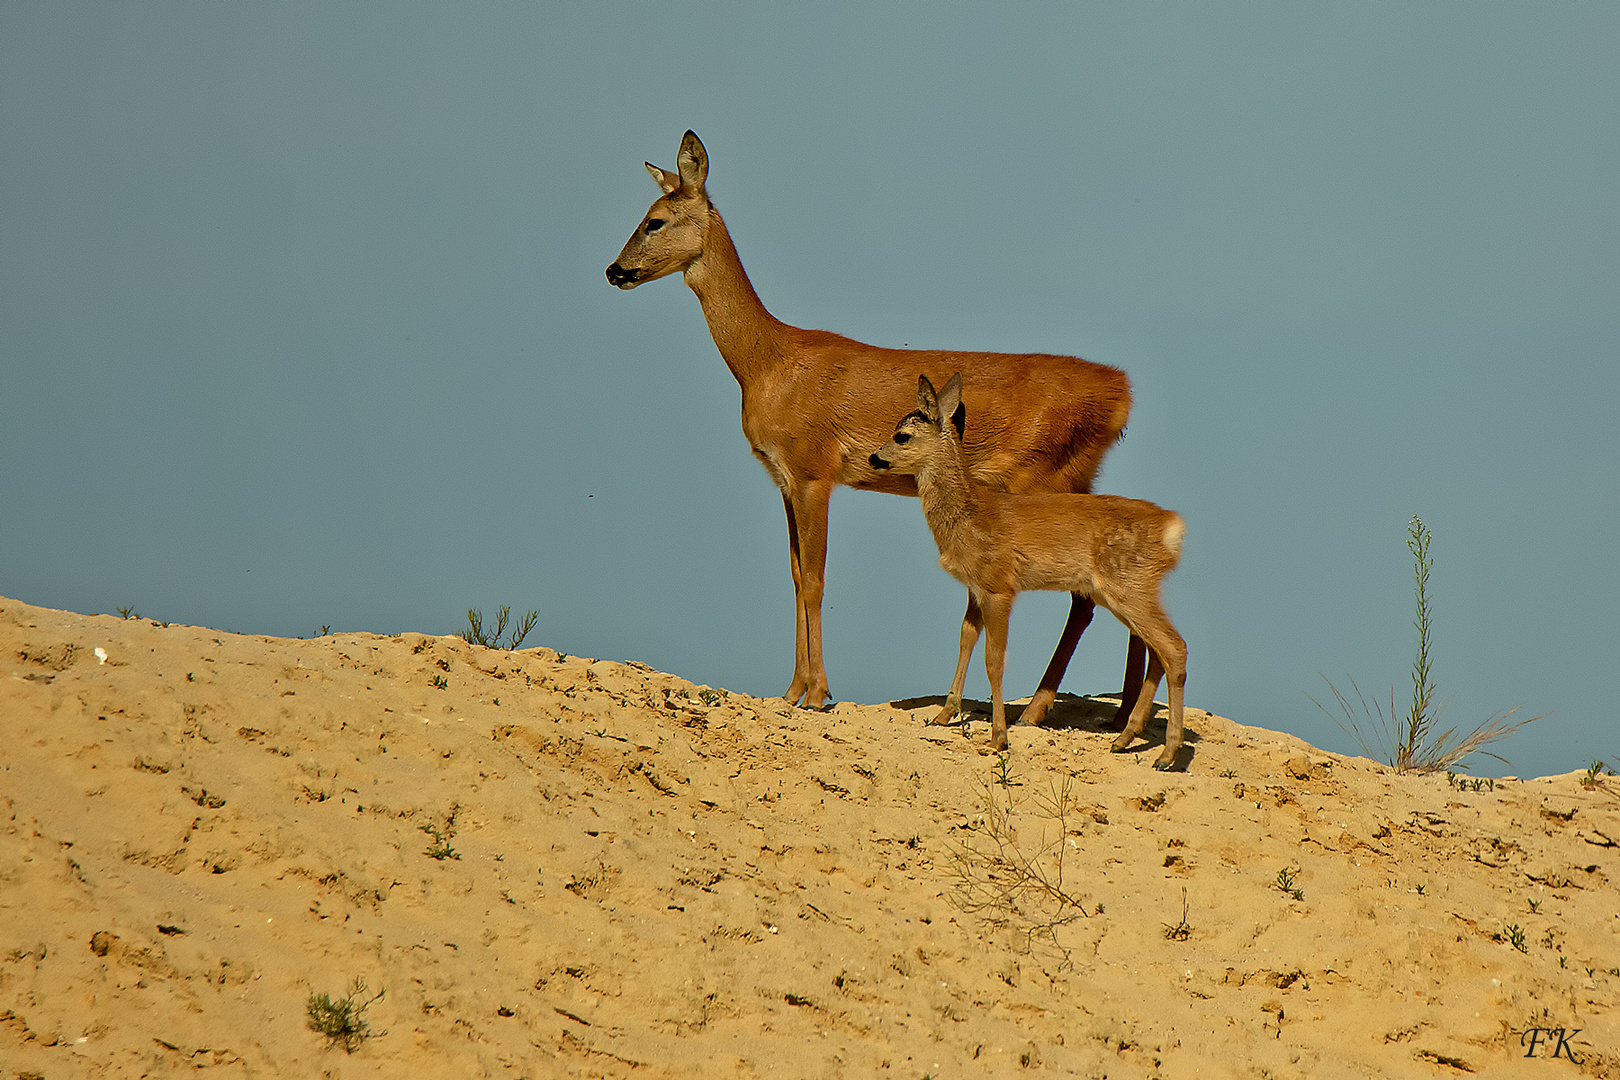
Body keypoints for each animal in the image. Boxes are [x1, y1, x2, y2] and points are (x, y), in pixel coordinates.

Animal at [602, 137, 1146, 725]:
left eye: (655, 221)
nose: (614, 270)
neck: (767, 364)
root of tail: (1122, 391)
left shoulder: (814, 471)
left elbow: (816, 579)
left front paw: (817, 692)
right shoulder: (783, 480)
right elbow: (795, 576)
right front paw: (790, 691)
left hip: (1043, 479)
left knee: (1086, 596)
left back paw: (1042, 710)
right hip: (1078, 479)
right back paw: (1121, 715)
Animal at [874, 375, 1192, 764]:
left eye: (902, 435)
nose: (875, 458)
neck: (968, 515)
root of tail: (1172, 527)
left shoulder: (999, 586)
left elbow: (994, 660)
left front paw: (998, 738)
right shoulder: (975, 588)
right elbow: (965, 640)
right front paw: (943, 714)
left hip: (1129, 585)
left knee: (1174, 647)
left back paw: (1166, 754)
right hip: (1121, 592)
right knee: (1156, 651)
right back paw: (1125, 738)